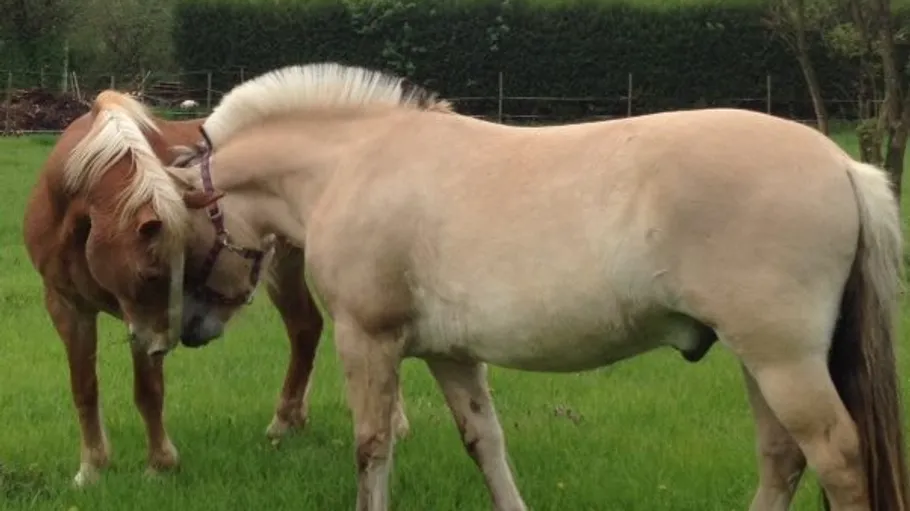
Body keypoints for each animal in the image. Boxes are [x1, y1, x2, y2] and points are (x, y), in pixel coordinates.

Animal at [21, 89, 411, 487]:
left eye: (187, 264)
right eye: (152, 274)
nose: (164, 346)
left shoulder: (140, 323)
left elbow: (148, 391)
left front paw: (159, 464)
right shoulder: (68, 306)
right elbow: (84, 387)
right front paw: (92, 469)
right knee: (308, 328)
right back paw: (295, 421)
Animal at [159, 62, 909, 511]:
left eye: (179, 234)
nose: (188, 328)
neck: (353, 163)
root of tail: (844, 166)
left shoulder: (366, 340)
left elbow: (372, 447)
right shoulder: (449, 354)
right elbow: (485, 443)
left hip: (783, 361)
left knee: (837, 458)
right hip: (762, 359)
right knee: (783, 458)